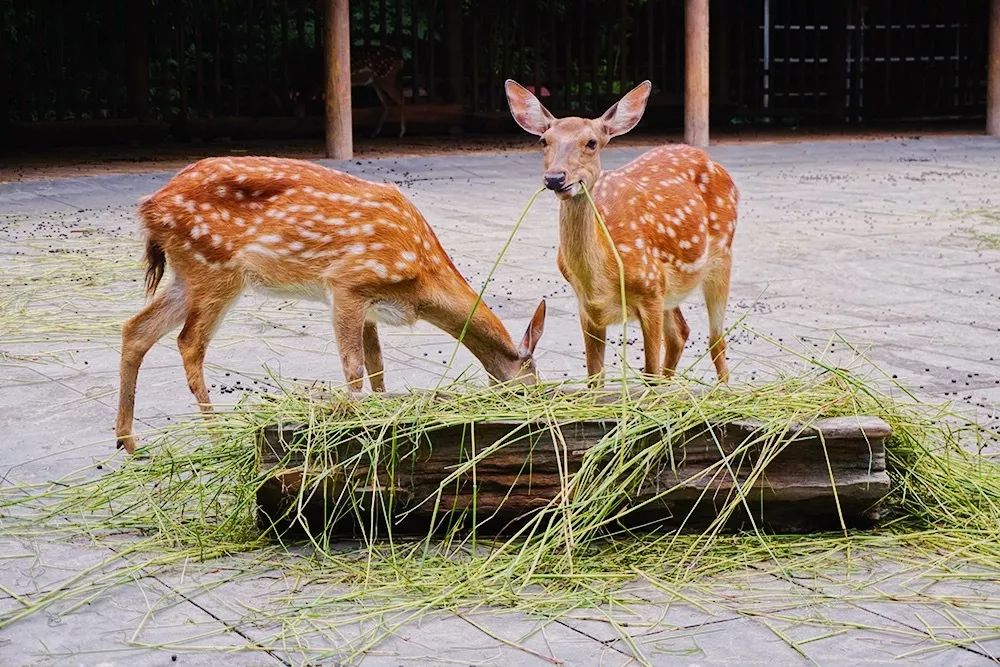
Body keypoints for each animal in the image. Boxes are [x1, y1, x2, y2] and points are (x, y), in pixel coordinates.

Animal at [117, 157, 548, 454]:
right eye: (529, 387)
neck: (420, 279)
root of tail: (149, 206)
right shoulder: (347, 283)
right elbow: (353, 371)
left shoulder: (372, 307)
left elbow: (377, 370)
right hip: (216, 270)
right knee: (189, 343)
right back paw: (217, 436)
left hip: (187, 274)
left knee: (136, 328)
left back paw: (129, 441)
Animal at [508, 80, 736, 384]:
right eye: (543, 141)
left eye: (591, 143)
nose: (555, 178)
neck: (603, 277)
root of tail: (711, 160)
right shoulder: (588, 309)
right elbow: (595, 379)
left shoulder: (650, 292)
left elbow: (649, 371)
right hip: (670, 289)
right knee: (680, 332)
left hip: (721, 256)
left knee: (715, 339)